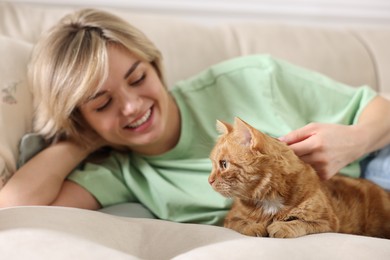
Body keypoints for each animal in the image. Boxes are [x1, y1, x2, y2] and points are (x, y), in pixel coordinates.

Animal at [209, 117, 390, 239]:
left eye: (223, 164)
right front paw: (255, 227)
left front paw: (283, 227)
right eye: (213, 163)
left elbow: (301, 223)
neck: (269, 199)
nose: (209, 180)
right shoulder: (230, 218)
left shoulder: (327, 221)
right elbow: (242, 223)